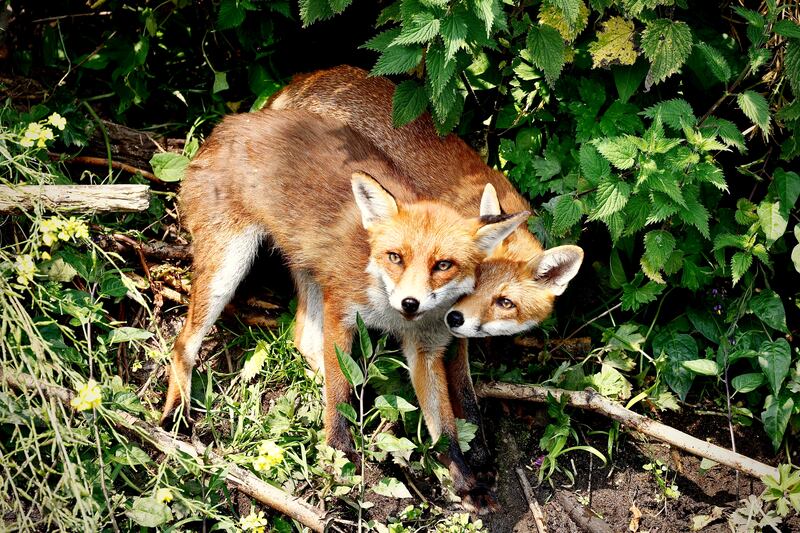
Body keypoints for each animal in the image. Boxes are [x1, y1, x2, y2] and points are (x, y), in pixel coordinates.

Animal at [160, 107, 529, 511]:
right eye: (395, 257)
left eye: (443, 265)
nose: (410, 302)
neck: (388, 308)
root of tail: (230, 122)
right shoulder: (342, 311)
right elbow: (338, 396)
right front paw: (338, 453)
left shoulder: (425, 348)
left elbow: (444, 427)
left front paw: (466, 482)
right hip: (229, 267)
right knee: (183, 343)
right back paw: (175, 414)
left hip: (308, 271)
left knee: (304, 340)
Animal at [268, 64, 583, 477]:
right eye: (470, 284)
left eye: (505, 302)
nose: (454, 317)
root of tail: (302, 80)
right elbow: (460, 385)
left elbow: (462, 390)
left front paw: (473, 449)